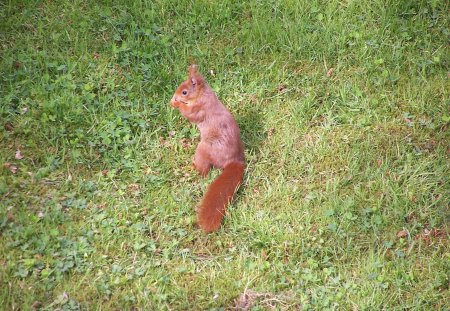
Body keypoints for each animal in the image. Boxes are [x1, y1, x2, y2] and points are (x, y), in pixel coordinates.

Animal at [170, 64, 246, 233]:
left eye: (184, 92)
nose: (174, 97)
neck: (203, 95)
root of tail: (234, 160)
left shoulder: (200, 108)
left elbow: (189, 114)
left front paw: (177, 104)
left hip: (204, 149)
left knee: (204, 171)